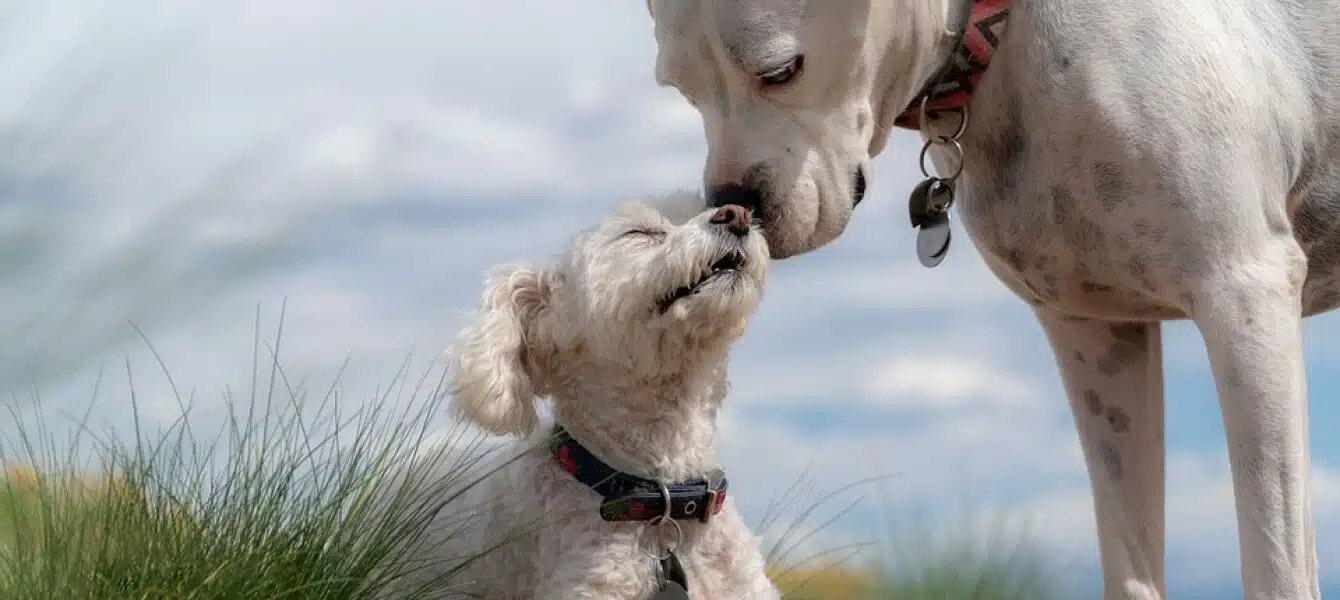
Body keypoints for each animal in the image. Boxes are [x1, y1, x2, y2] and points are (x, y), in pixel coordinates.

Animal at [645, 1, 1340, 600]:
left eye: (781, 71)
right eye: (680, 89)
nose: (732, 204)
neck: (1003, 40)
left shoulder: (1242, 294)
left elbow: (1276, 565)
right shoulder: (1097, 335)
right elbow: (1131, 563)